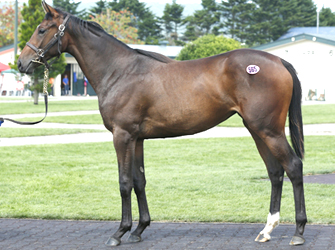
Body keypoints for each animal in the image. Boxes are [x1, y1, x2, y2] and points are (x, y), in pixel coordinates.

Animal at [17, 0, 308, 246]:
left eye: (41, 29)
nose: (21, 63)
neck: (119, 70)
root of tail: (278, 60)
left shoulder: (122, 136)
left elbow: (124, 182)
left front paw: (120, 232)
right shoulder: (137, 139)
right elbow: (139, 181)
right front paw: (139, 229)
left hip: (269, 130)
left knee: (293, 167)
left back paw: (298, 231)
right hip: (257, 130)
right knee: (275, 172)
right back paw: (267, 230)